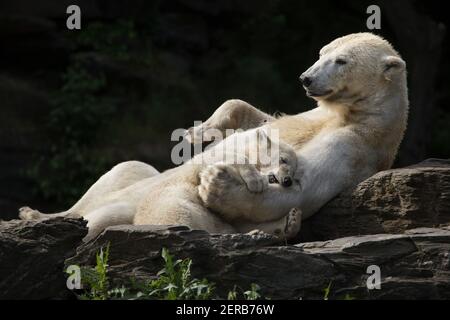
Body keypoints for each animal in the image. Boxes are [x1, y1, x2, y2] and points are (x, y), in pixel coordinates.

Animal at [20, 33, 408, 241]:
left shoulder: (354, 145)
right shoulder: (310, 116)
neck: (351, 114)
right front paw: (197, 132)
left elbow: (302, 186)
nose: (306, 78)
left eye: (341, 61)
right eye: (322, 53)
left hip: (139, 208)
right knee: (127, 169)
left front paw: (222, 185)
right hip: (123, 187)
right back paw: (34, 213)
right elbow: (261, 117)